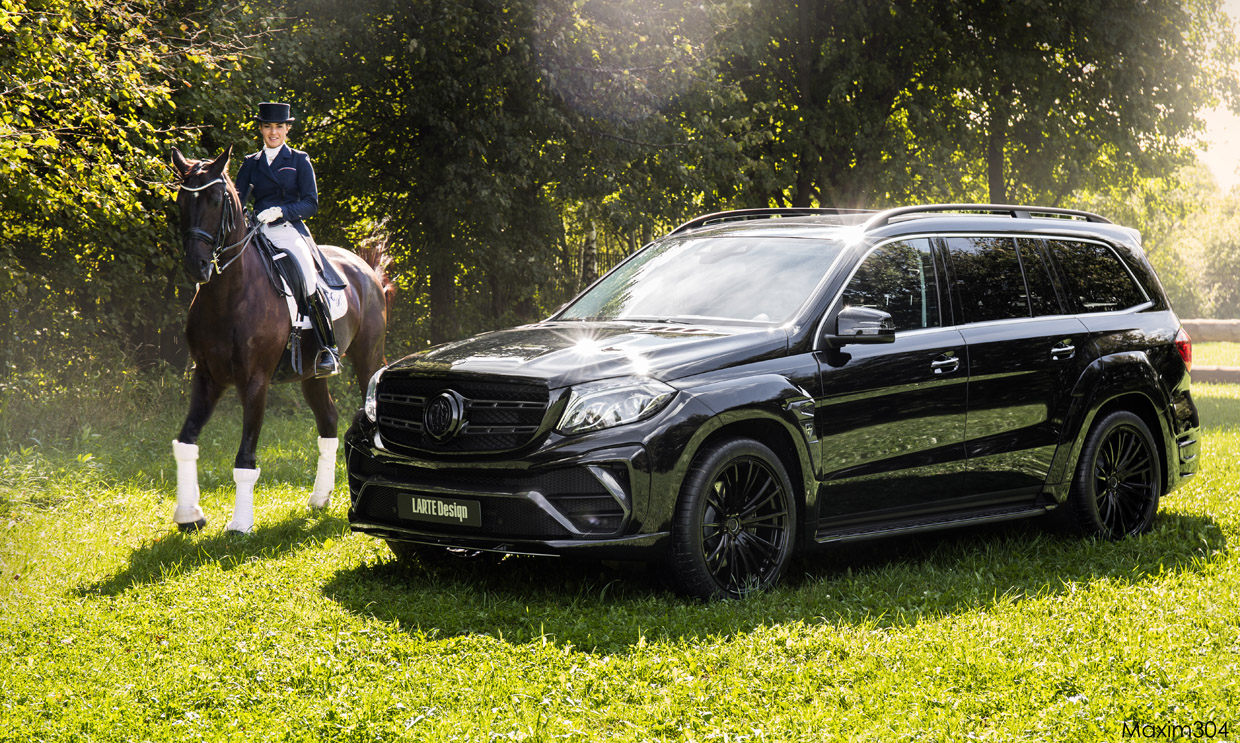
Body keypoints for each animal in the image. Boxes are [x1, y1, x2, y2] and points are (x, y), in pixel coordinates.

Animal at [169, 142, 389, 530]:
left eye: (215, 199)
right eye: (181, 200)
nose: (197, 266)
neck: (229, 294)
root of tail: (365, 269)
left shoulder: (255, 382)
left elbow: (245, 458)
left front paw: (240, 525)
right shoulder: (207, 377)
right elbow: (186, 441)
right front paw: (189, 514)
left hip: (368, 360)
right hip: (312, 374)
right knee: (328, 420)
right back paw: (319, 498)